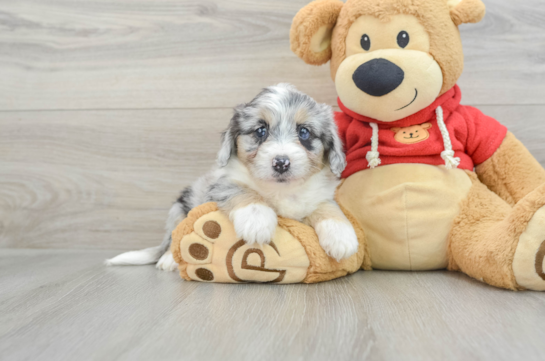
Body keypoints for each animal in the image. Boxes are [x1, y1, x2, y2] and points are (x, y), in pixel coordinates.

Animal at [108, 83, 360, 270]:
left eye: (304, 132)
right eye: (260, 131)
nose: (281, 162)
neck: (281, 190)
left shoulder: (319, 196)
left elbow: (328, 208)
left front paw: (341, 236)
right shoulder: (220, 183)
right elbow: (242, 191)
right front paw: (257, 221)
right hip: (179, 209)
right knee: (173, 238)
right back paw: (169, 259)